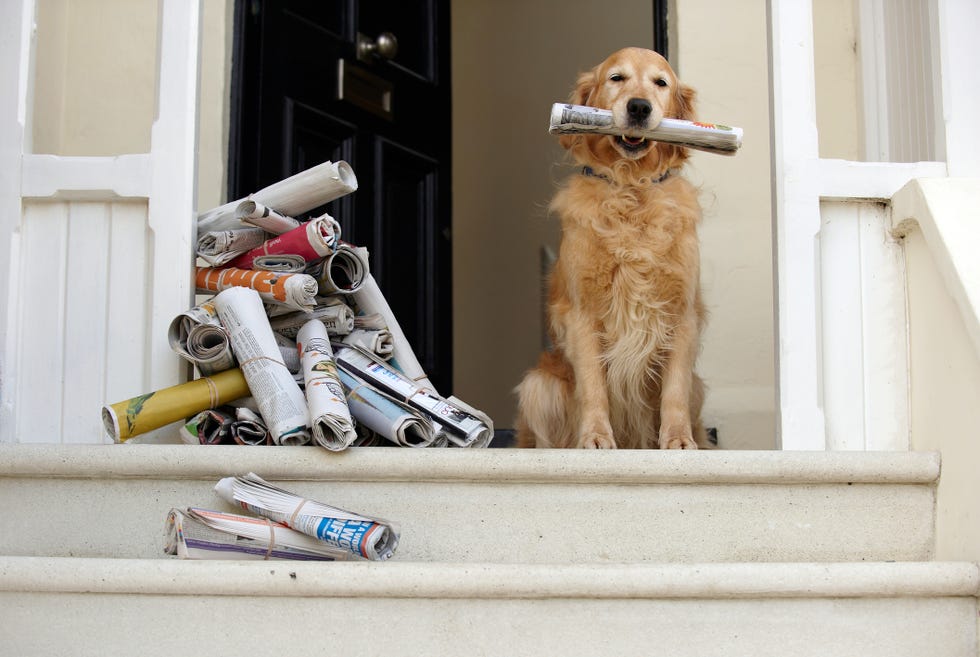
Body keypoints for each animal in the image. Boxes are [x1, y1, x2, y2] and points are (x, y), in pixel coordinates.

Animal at [512, 43, 712, 448]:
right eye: (616, 78)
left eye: (660, 83)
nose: (638, 107)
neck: (632, 187)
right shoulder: (582, 313)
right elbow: (593, 386)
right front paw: (594, 436)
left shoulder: (682, 311)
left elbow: (675, 391)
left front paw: (679, 440)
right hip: (538, 385)